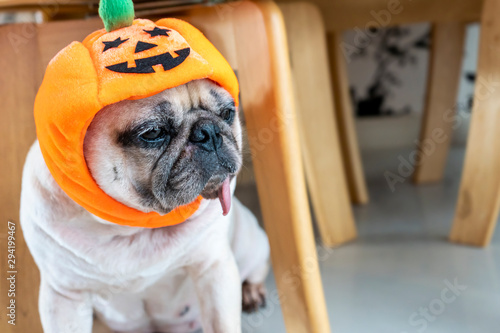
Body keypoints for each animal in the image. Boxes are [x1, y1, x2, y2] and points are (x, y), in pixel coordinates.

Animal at [20, 78, 270, 332]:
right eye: (153, 133)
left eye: (227, 113)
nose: (209, 132)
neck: (136, 227)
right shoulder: (65, 297)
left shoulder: (214, 268)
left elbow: (222, 323)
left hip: (251, 242)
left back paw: (251, 292)